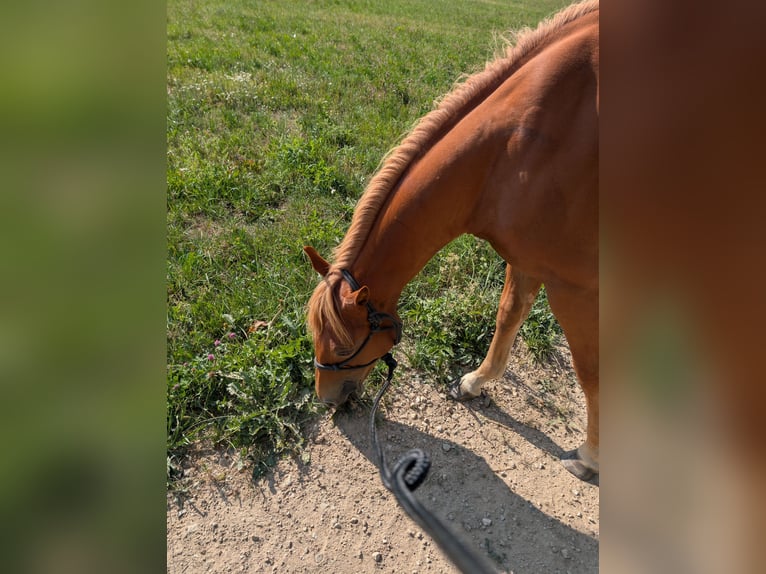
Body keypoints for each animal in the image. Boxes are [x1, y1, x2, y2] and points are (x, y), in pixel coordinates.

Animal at [305, 0, 599, 481]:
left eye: (346, 346)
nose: (327, 398)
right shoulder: (529, 259)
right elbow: (508, 316)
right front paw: (476, 382)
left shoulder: (572, 286)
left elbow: (589, 369)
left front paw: (591, 455)